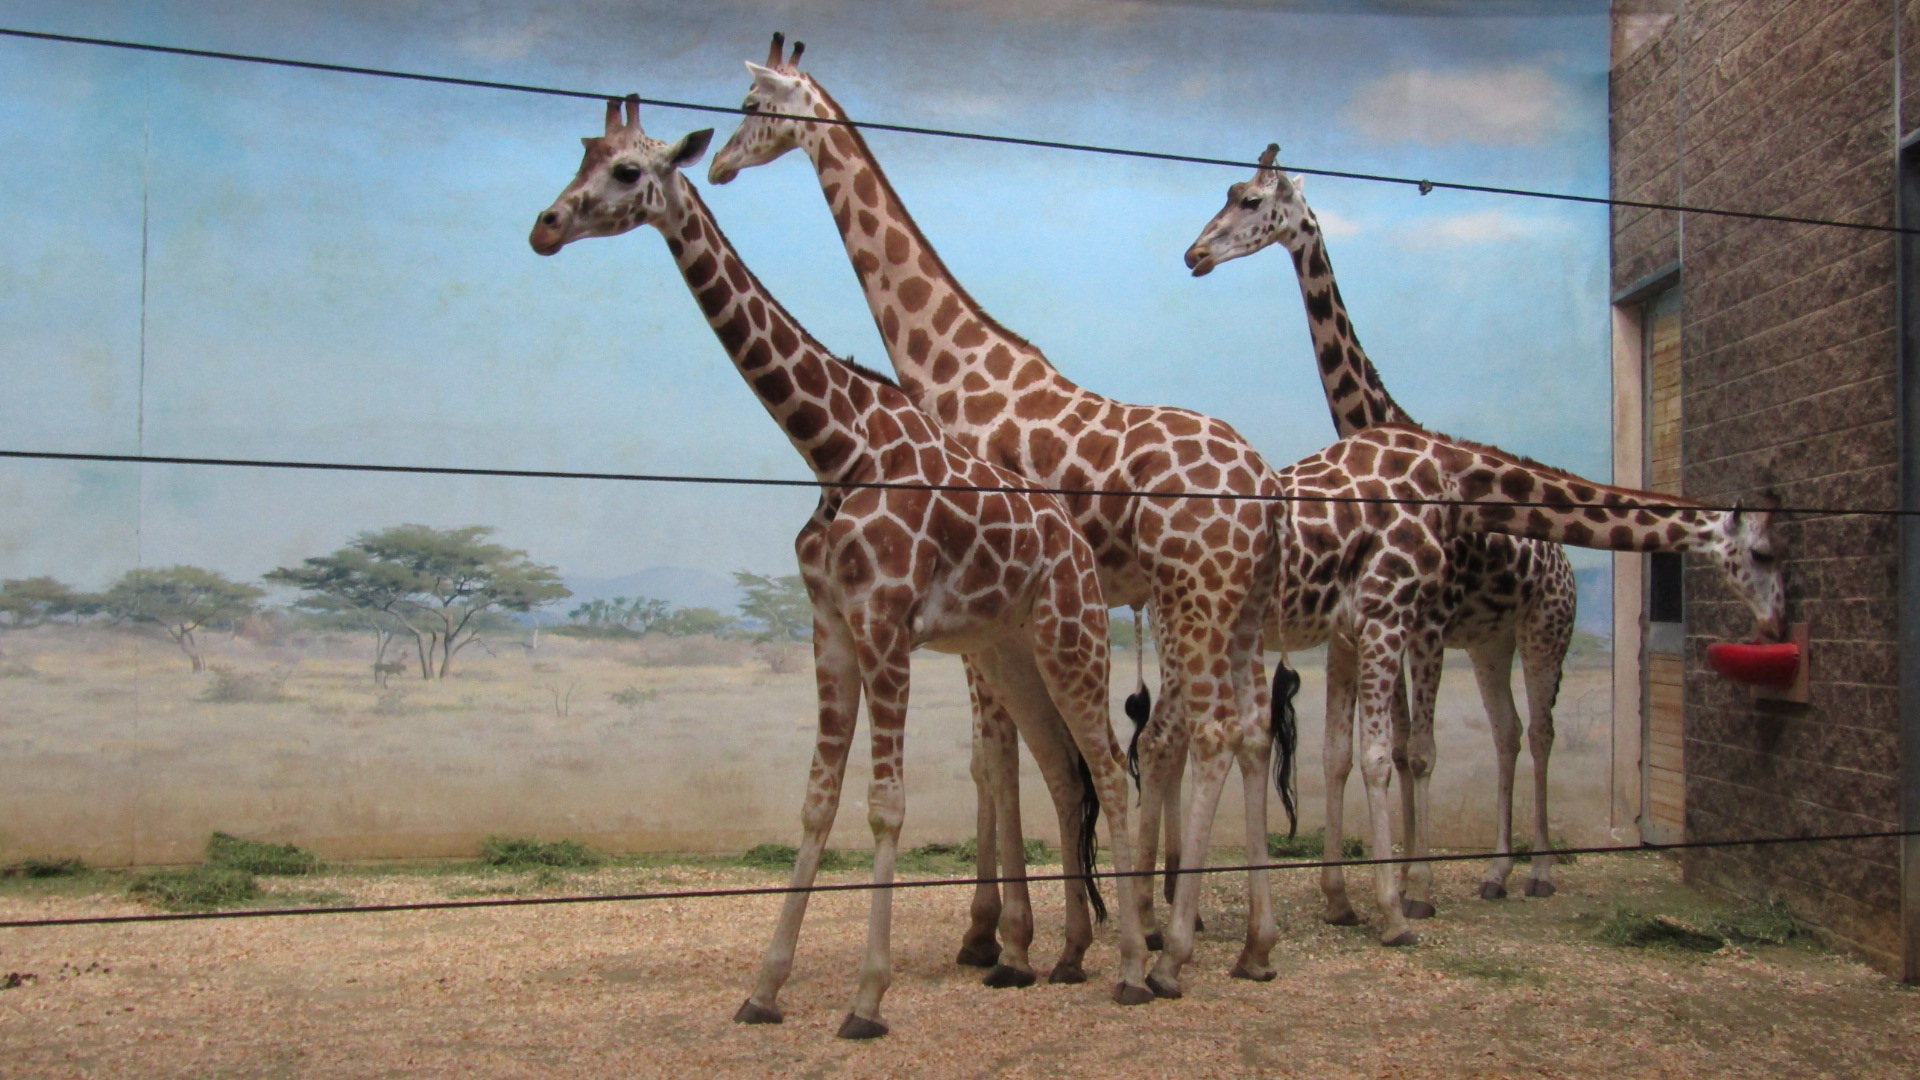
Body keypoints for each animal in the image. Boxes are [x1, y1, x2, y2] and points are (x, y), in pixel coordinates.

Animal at [528, 98, 1153, 1036]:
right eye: (582, 155)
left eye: (630, 170)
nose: (545, 225)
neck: (834, 447)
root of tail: (1075, 542)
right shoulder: (828, 629)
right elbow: (817, 800)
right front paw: (764, 988)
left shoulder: (884, 627)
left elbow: (885, 805)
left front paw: (866, 997)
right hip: (1008, 647)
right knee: (1059, 766)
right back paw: (1074, 956)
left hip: (1071, 635)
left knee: (1110, 770)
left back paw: (1137, 969)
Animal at [709, 35, 1292, 998]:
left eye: (754, 105)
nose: (716, 163)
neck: (950, 365)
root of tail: (1270, 484)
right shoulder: (987, 614)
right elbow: (1007, 760)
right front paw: (1028, 934)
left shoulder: (981, 603)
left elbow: (997, 759)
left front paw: (1008, 939)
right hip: (1230, 606)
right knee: (1238, 731)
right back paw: (1246, 942)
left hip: (1192, 598)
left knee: (1198, 733)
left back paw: (1171, 946)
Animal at [1185, 143, 1583, 909]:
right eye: (1226, 190)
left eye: (1252, 200)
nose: (1194, 254)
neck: (1383, 422)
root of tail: (1566, 560)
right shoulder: (1393, 624)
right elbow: (1384, 750)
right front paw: (1381, 879)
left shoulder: (1423, 621)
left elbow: (1417, 752)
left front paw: (1415, 884)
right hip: (1490, 641)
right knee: (1509, 732)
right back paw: (1496, 871)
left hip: (1547, 625)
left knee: (1545, 730)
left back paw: (1542, 870)